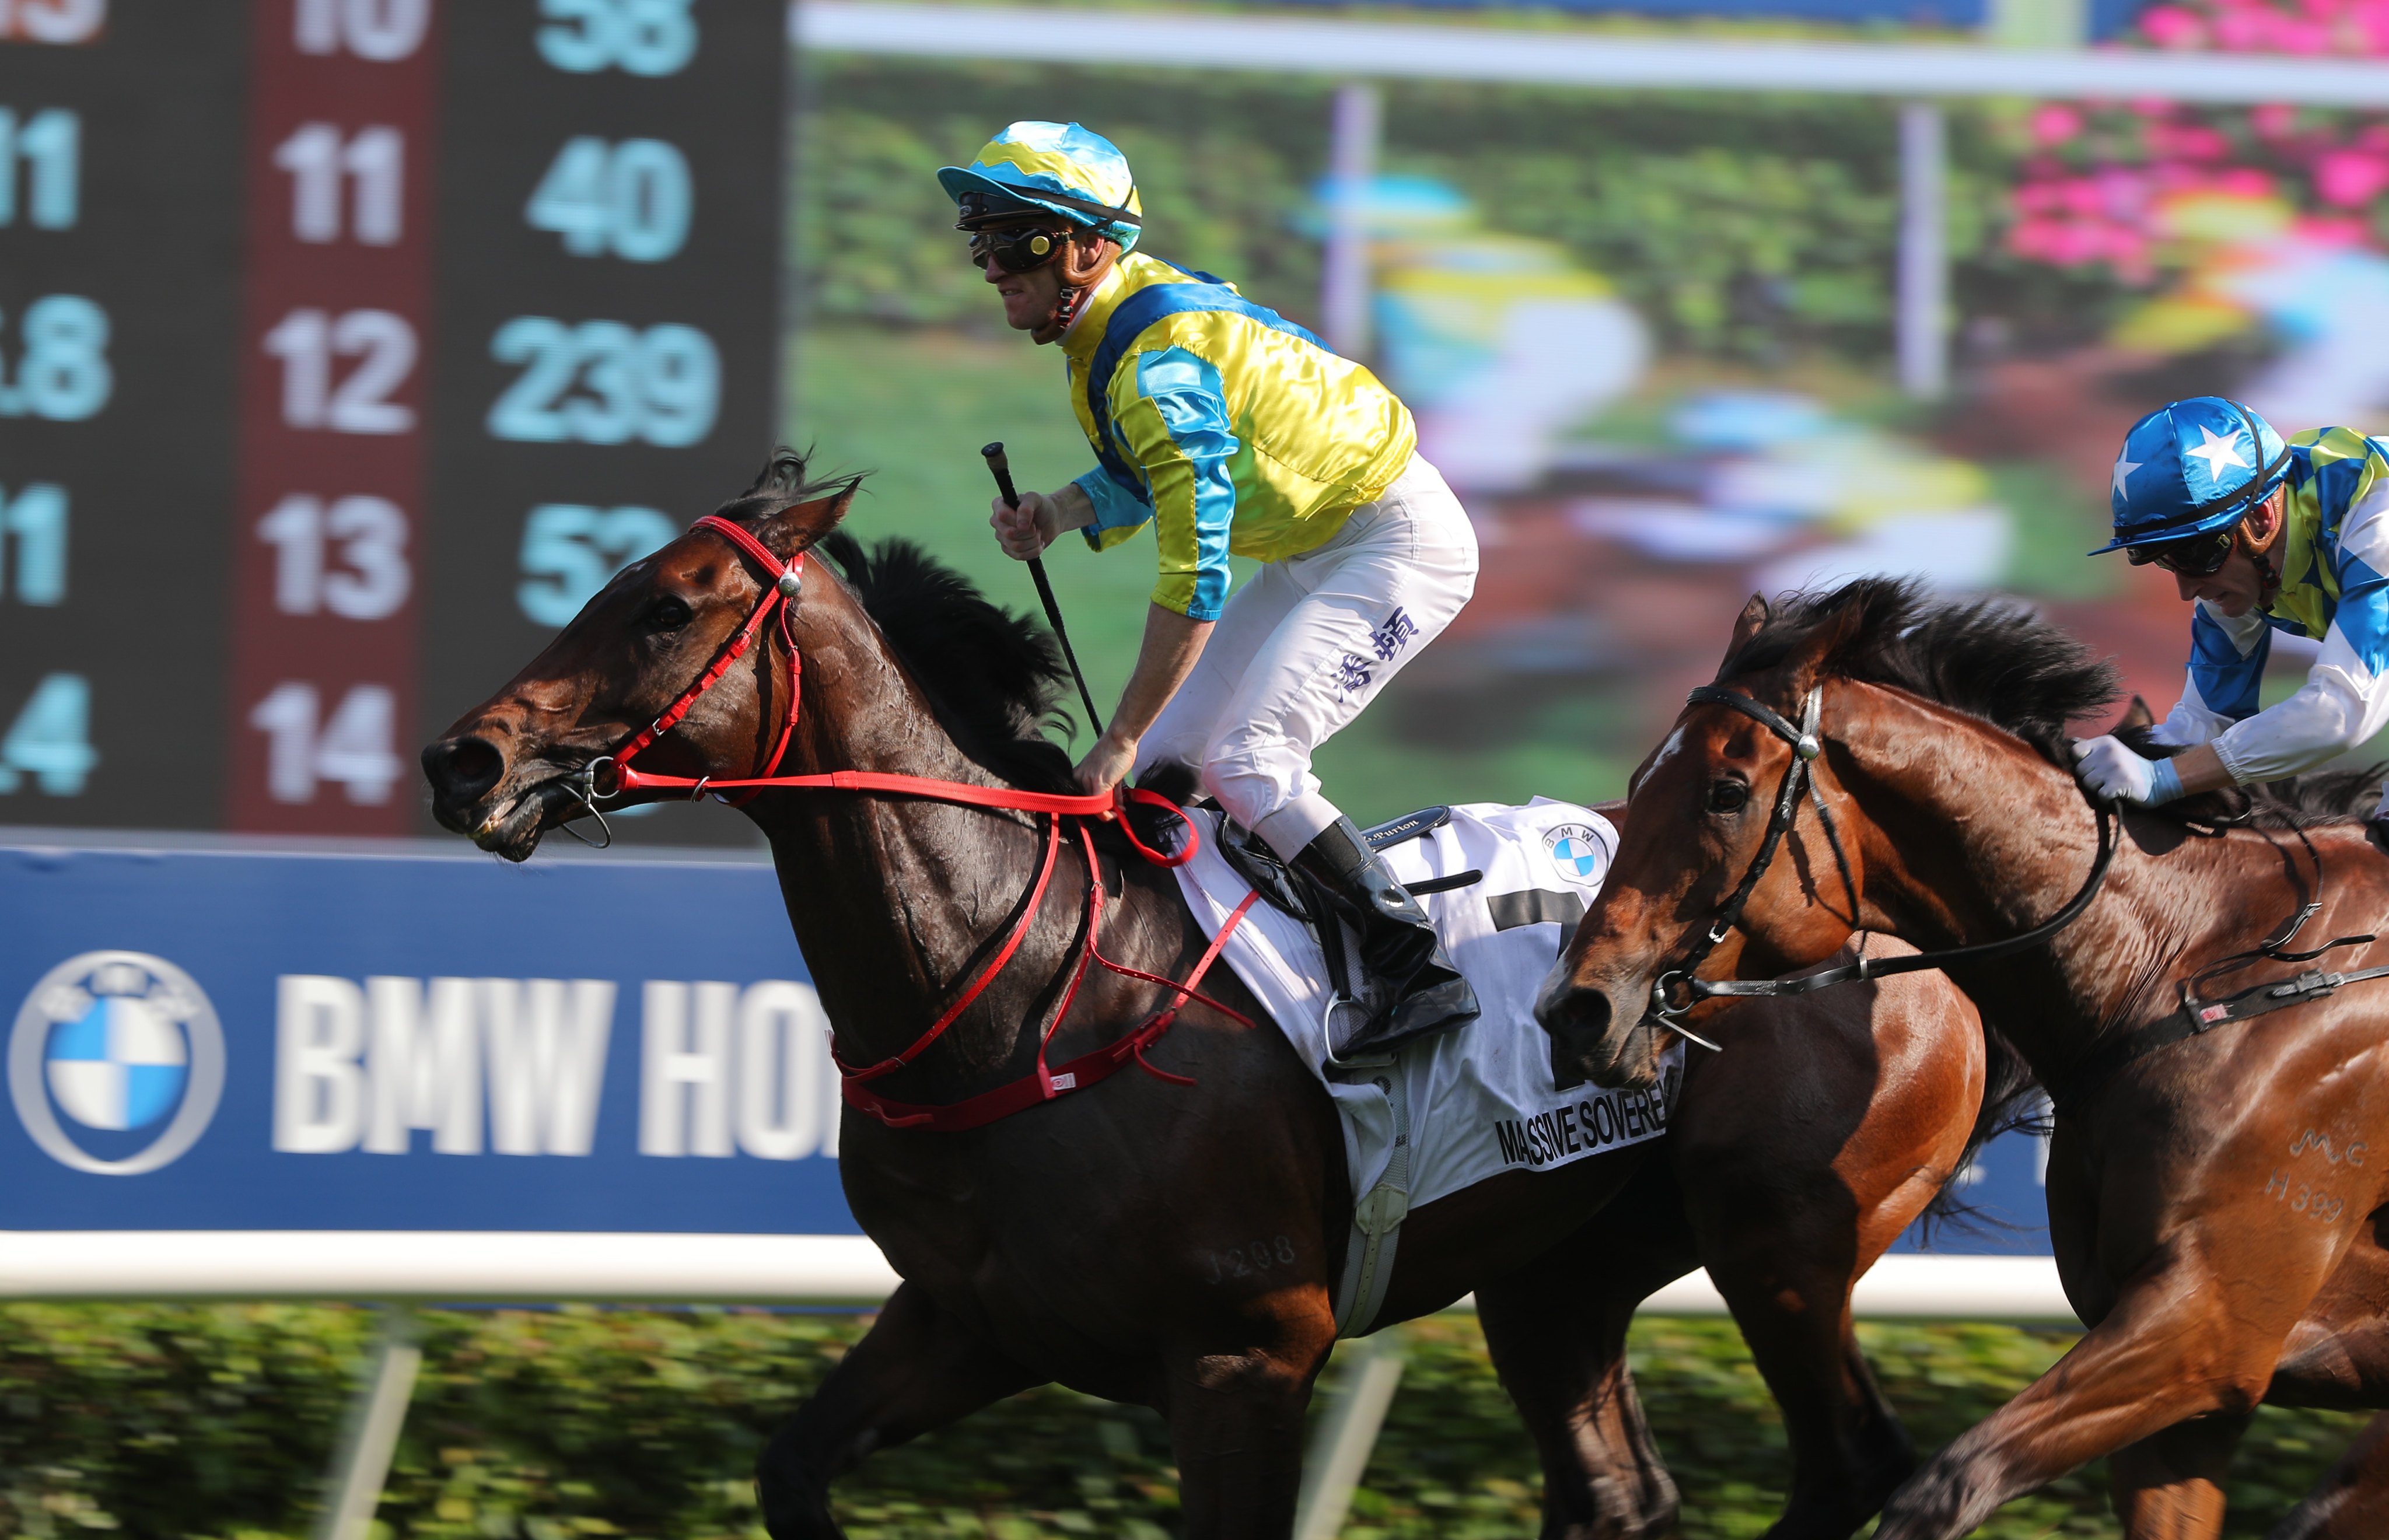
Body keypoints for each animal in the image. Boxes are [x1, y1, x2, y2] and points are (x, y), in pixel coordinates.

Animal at [430, 463, 2016, 1537]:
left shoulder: (1246, 1348)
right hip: (1560, 1267)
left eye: (662, 606)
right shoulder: (968, 1320)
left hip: (1780, 1243)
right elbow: (791, 1470)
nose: (464, 760)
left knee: (1852, 1463)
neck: (1017, 981)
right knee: (1619, 1492)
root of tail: (1894, 919)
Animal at [1538, 580, 2388, 1537]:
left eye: (1725, 791)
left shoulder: (2209, 1321)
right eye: (1642, 777)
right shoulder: (2190, 1385)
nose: (1576, 1007)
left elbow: (1942, 1489)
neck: (2193, 965)